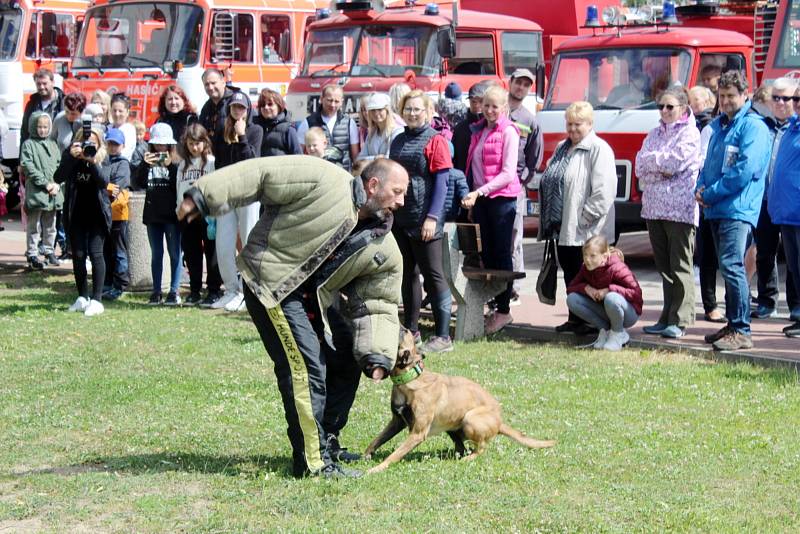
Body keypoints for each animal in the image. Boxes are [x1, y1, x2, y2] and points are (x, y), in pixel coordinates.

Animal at [364, 330, 556, 478]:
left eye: (404, 332)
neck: (410, 379)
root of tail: (500, 422)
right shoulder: (396, 422)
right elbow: (376, 440)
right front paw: (366, 455)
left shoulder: (417, 433)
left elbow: (394, 455)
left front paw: (377, 468)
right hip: (453, 426)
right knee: (462, 447)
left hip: (470, 419)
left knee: (480, 448)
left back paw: (467, 458)